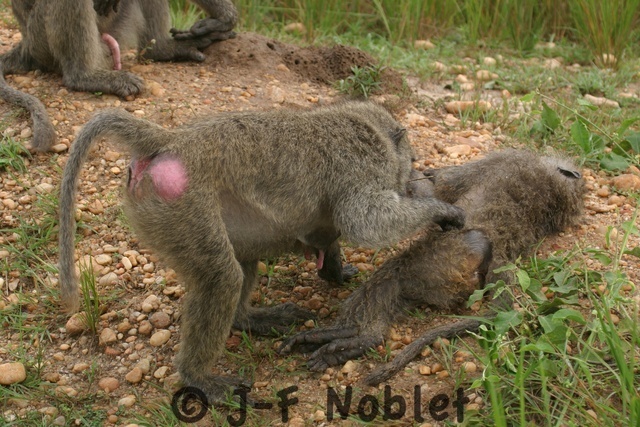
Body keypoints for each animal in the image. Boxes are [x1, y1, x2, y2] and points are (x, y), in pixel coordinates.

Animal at [0, 0, 238, 152]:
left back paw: (162, 49)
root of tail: (27, 43)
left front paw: (225, 18)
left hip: (112, 30)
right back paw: (84, 75)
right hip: (42, 39)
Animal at [58, 100, 466, 404]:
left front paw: (335, 270)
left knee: (241, 260)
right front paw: (440, 211)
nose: (415, 175)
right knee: (222, 277)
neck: (364, 126)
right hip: (179, 205)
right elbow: (363, 221)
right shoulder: (360, 164)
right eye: (411, 161)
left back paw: (248, 319)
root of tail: (174, 141)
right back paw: (198, 376)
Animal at [279, 149, 585, 383]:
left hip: (440, 258)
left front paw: (421, 174)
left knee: (391, 278)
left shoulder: (504, 159)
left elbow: (435, 187)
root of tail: (501, 257)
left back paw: (354, 337)